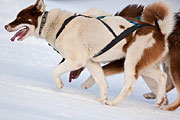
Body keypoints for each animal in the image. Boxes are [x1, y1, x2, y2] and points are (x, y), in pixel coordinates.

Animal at [4, 0, 174, 108]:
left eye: (19, 17)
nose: (6, 26)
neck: (56, 25)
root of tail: (160, 31)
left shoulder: (77, 60)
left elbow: (55, 71)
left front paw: (59, 84)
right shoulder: (91, 62)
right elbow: (102, 82)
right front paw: (102, 97)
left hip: (131, 63)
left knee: (129, 86)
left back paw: (113, 102)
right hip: (145, 66)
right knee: (162, 76)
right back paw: (159, 99)